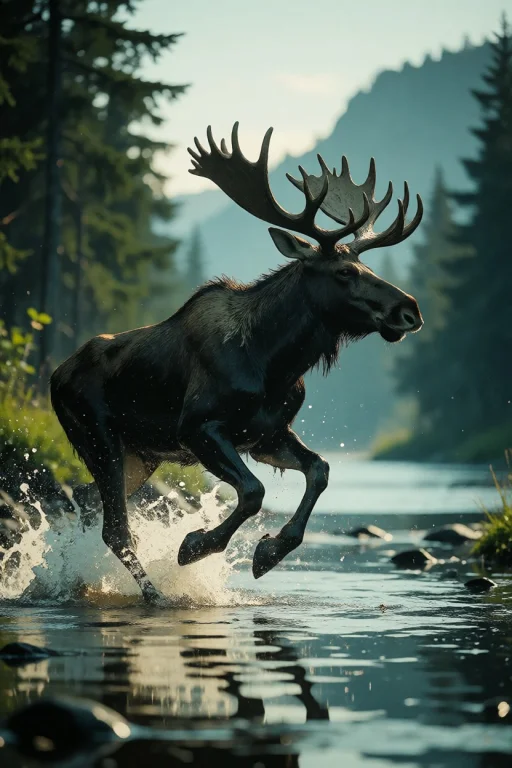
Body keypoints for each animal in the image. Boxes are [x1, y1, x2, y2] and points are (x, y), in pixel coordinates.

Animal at [50, 123, 424, 603]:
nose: (409, 309)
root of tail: (55, 377)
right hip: (99, 437)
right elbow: (252, 490)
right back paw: (154, 594)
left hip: (139, 455)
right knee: (115, 528)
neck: (277, 362)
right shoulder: (198, 427)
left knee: (83, 499)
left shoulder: (267, 434)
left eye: (368, 266)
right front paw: (196, 545)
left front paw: (270, 551)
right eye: (344, 272)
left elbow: (319, 470)